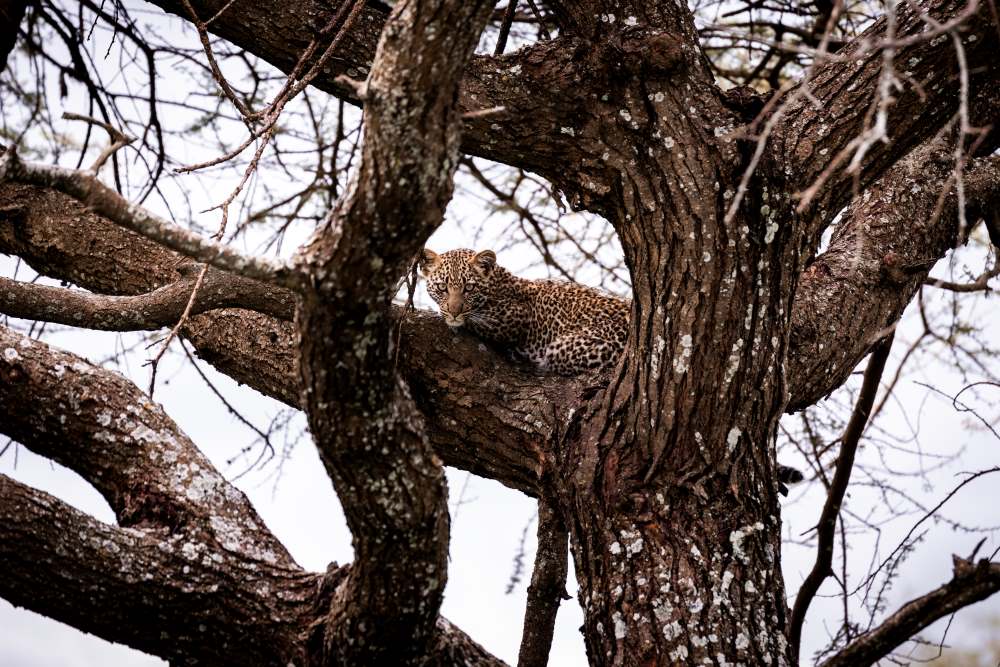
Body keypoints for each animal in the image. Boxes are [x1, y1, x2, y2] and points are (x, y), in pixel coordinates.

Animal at [418, 248, 629, 375]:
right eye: (442, 287)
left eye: (469, 288)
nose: (454, 312)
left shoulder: (513, 318)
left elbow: (474, 320)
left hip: (567, 347)